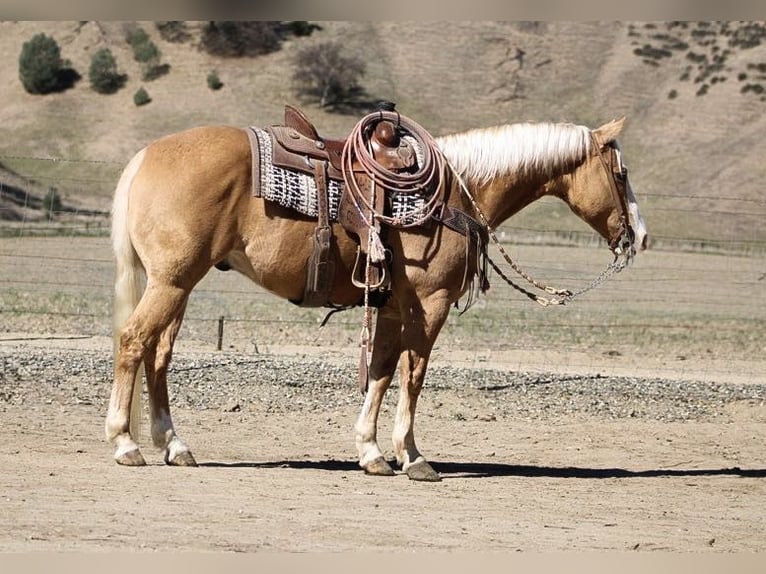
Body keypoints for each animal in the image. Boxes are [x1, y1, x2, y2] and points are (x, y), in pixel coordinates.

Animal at [106, 112, 648, 482]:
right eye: (621, 174)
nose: (639, 237)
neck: (456, 191)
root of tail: (144, 156)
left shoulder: (389, 307)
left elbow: (382, 372)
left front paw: (370, 452)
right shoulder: (431, 303)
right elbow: (413, 376)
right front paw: (413, 457)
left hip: (176, 284)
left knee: (158, 354)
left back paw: (174, 445)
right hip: (172, 281)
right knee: (133, 341)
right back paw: (125, 443)